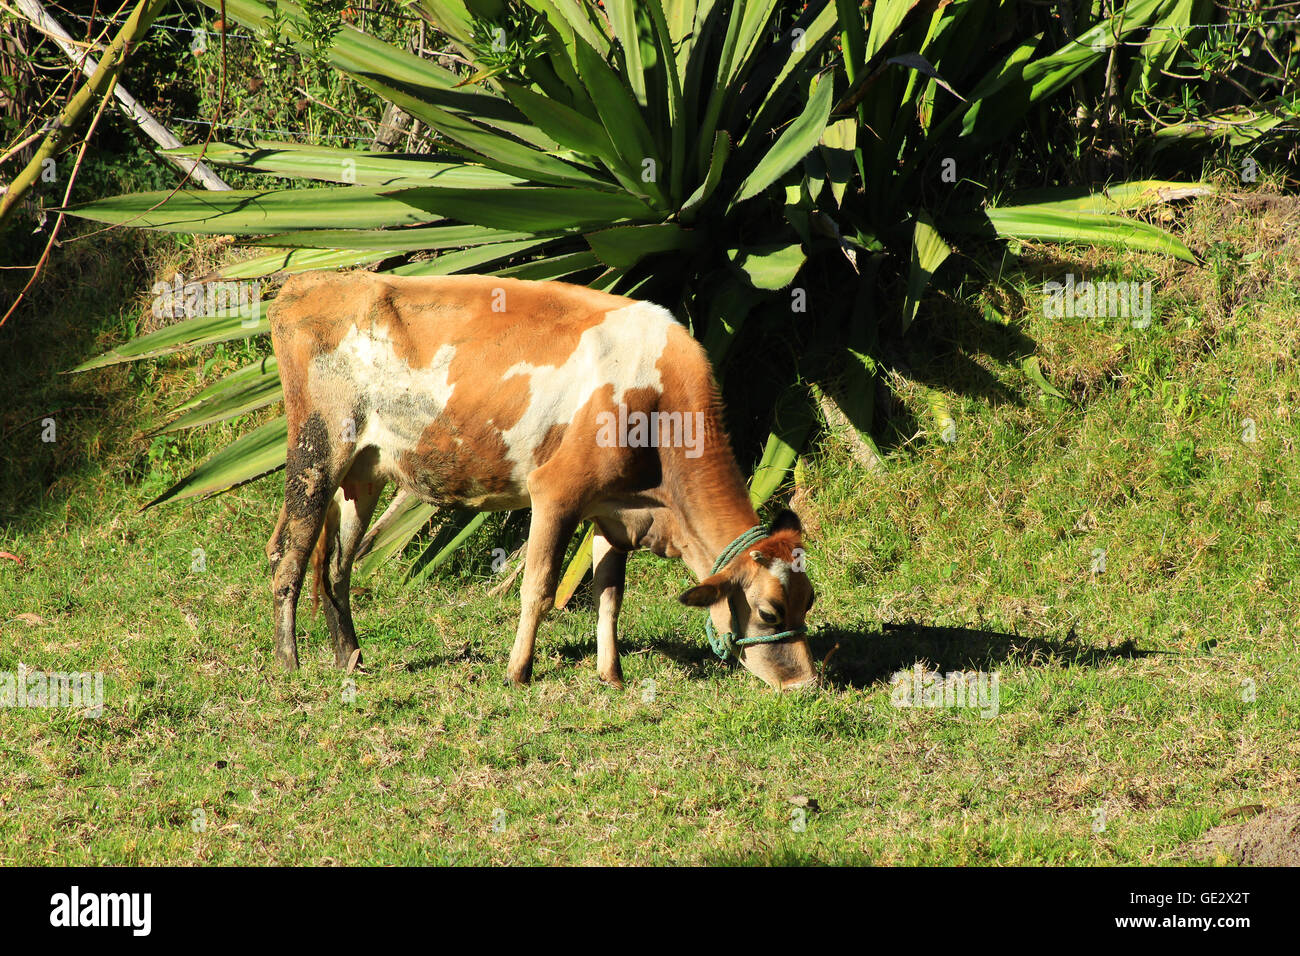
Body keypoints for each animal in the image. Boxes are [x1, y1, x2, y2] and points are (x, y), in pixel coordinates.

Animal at [264, 271, 818, 690]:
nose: (804, 683)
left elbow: (609, 597)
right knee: (289, 555)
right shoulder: (555, 490)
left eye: (808, 602)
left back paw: (351, 659)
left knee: (338, 565)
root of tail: (311, 282)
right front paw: (518, 672)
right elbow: (538, 588)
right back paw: (290, 664)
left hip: (366, 470)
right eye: (769, 613)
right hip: (318, 449)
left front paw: (611, 677)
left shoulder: (613, 513)